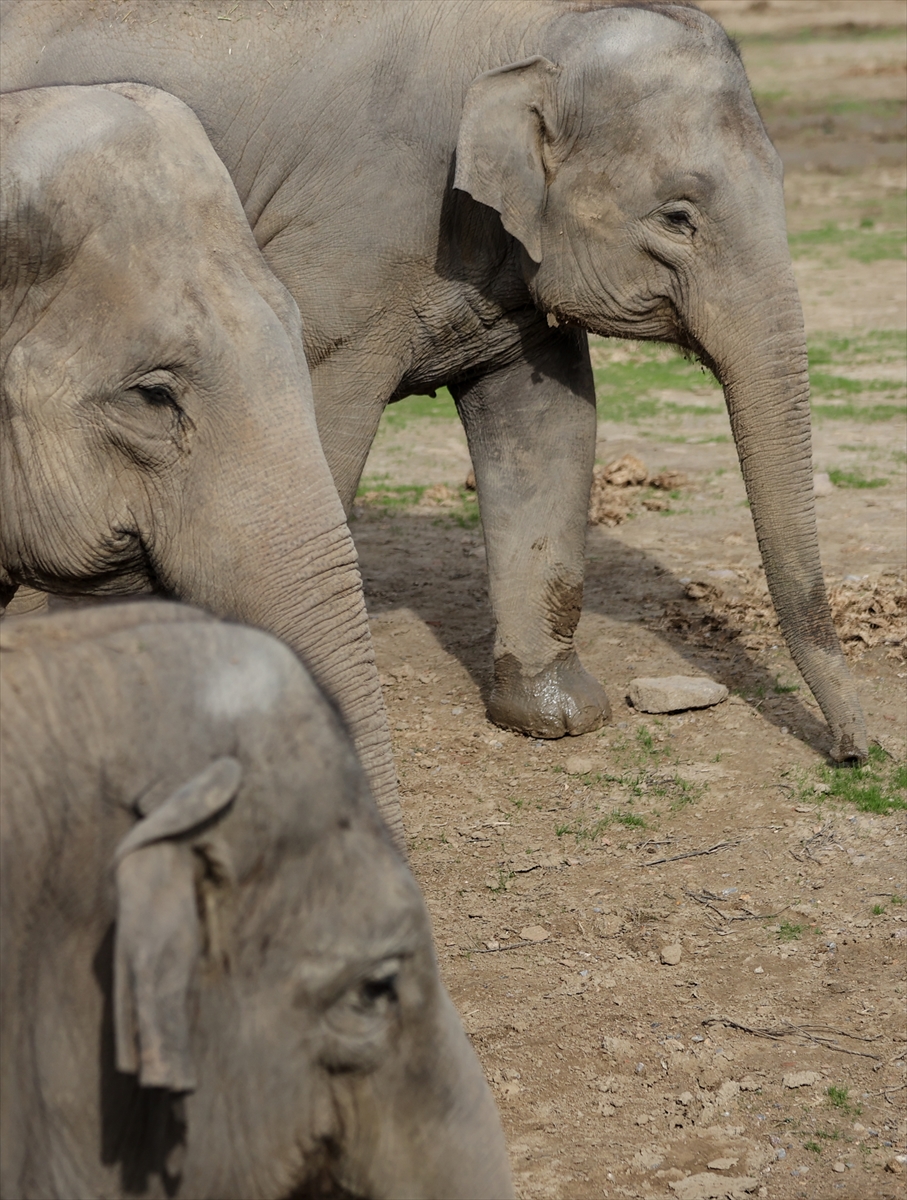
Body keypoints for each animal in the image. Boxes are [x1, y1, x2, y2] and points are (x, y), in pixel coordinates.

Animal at [1, 2, 873, 758]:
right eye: (677, 216)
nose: (852, 752)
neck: (526, 32)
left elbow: (550, 425)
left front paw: (557, 719)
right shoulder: (352, 234)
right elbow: (327, 425)